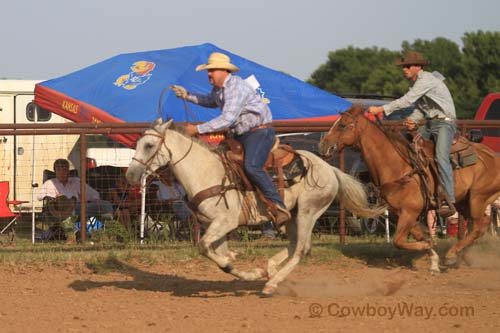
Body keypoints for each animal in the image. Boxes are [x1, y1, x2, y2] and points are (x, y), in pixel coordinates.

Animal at [127, 118, 384, 294]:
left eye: (149, 145)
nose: (130, 175)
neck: (206, 172)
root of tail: (329, 168)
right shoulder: (214, 226)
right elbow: (219, 255)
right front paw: (250, 271)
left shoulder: (225, 222)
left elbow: (205, 249)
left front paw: (245, 271)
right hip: (292, 216)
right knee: (295, 245)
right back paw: (269, 270)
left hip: (308, 213)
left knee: (301, 249)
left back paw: (272, 283)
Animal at [320, 105, 500, 272]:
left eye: (343, 125)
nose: (323, 146)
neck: (398, 166)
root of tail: (493, 156)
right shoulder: (402, 213)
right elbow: (417, 236)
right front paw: (433, 259)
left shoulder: (410, 211)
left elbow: (398, 241)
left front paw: (429, 245)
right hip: (464, 202)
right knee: (482, 224)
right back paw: (460, 256)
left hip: (478, 197)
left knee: (478, 226)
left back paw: (451, 255)